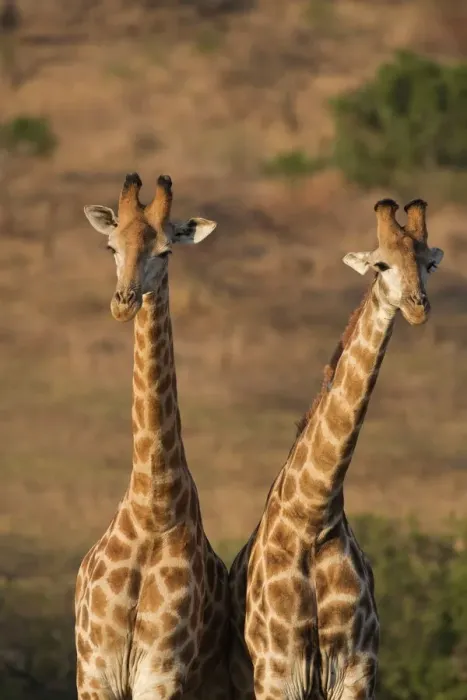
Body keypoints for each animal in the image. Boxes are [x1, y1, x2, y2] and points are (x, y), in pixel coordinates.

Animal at [75, 172, 231, 700]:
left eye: (165, 251)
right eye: (110, 246)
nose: (123, 303)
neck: (153, 507)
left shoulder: (162, 671)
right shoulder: (95, 670)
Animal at [228, 199, 444, 700]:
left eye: (428, 263)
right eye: (381, 264)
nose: (417, 307)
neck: (313, 517)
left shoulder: (356, 668)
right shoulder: (278, 671)